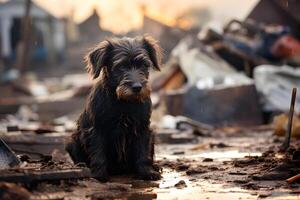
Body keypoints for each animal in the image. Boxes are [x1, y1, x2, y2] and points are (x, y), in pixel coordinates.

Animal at [65, 35, 162, 181]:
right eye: (120, 66)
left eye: (144, 65)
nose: (137, 87)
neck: (124, 102)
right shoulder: (97, 129)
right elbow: (98, 153)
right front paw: (99, 175)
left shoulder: (142, 128)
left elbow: (143, 152)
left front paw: (147, 172)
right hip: (72, 141)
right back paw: (82, 167)